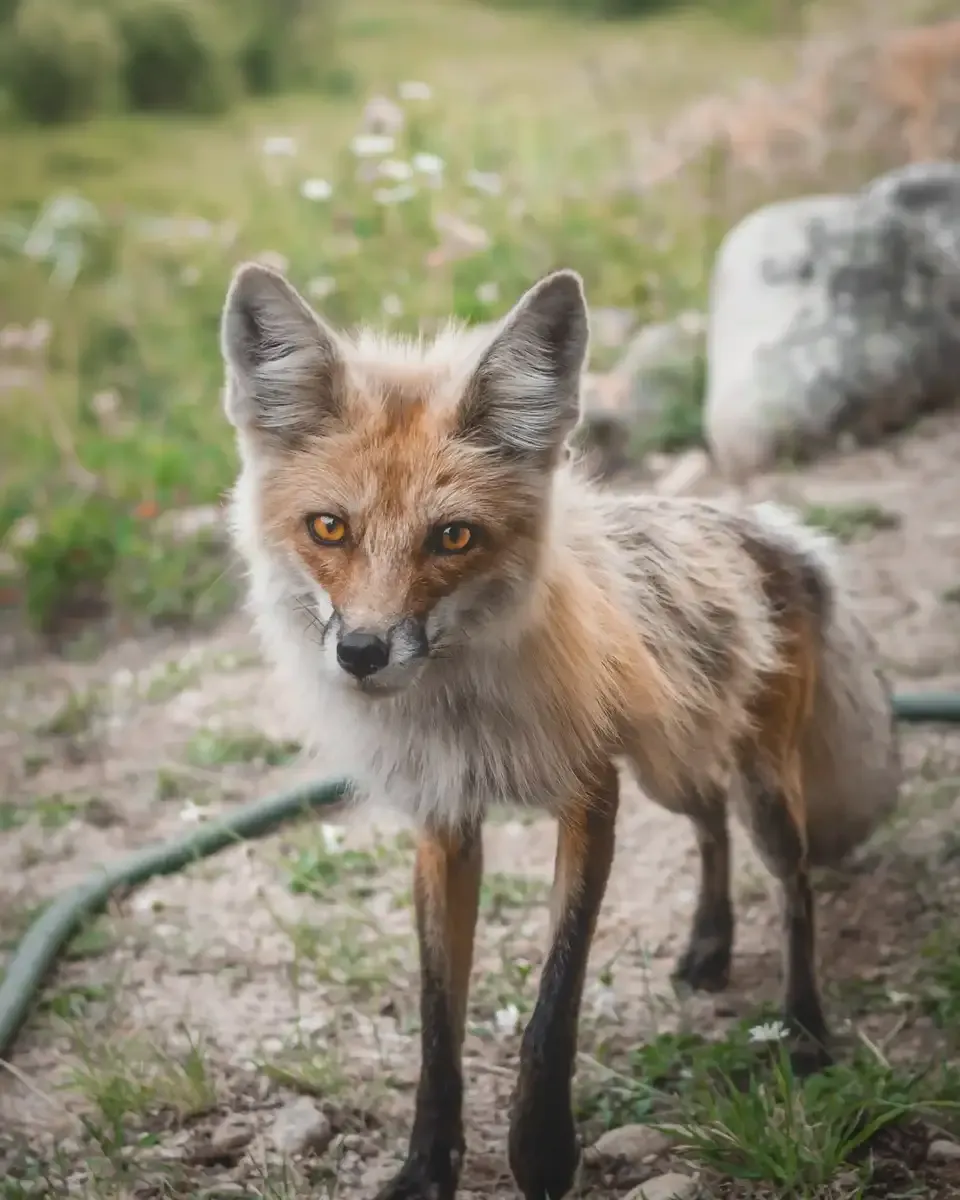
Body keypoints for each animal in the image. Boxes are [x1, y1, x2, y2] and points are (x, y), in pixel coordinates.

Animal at [220, 264, 901, 1200]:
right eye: (329, 528)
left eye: (453, 537)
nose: (362, 653)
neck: (461, 716)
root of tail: (771, 531)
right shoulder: (445, 823)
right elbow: (438, 1024)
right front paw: (427, 1164)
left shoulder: (589, 796)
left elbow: (553, 1006)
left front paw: (542, 1152)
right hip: (669, 770)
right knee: (709, 824)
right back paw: (710, 945)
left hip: (759, 790)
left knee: (791, 887)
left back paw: (803, 1032)